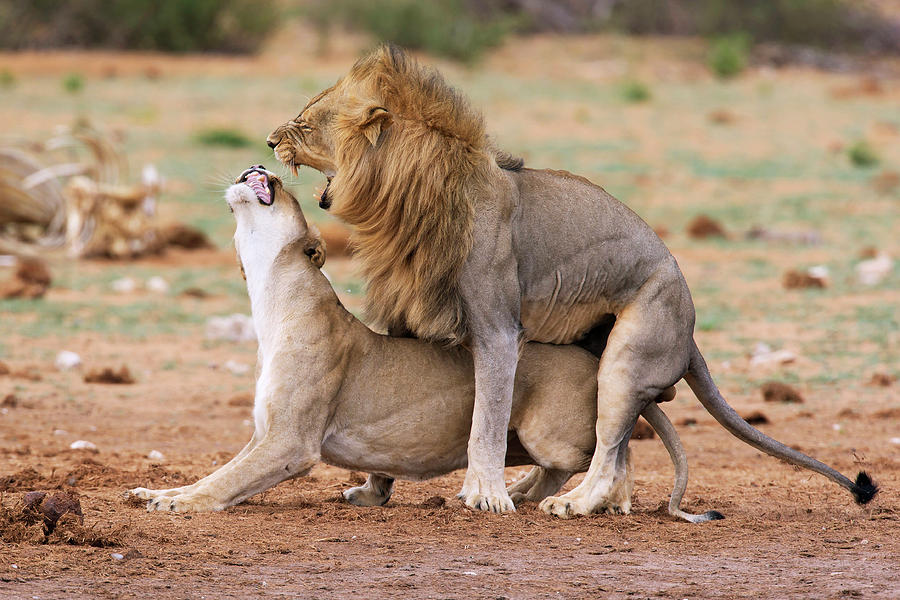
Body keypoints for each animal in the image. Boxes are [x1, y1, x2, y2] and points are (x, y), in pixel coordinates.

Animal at [127, 166, 721, 523]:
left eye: (282, 188)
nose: (261, 168)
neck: (273, 296)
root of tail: (588, 358)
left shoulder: (290, 443)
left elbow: (222, 483)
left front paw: (175, 503)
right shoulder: (262, 434)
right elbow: (217, 471)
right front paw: (157, 493)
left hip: (551, 426)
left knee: (609, 450)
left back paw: (576, 501)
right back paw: (524, 492)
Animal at [266, 45, 877, 517]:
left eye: (307, 121)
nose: (271, 141)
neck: (402, 202)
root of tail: (690, 328)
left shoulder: (497, 328)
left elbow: (487, 417)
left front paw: (484, 494)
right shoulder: (408, 316)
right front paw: (375, 489)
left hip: (628, 357)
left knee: (609, 448)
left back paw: (574, 503)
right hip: (596, 350)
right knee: (621, 445)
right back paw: (573, 497)